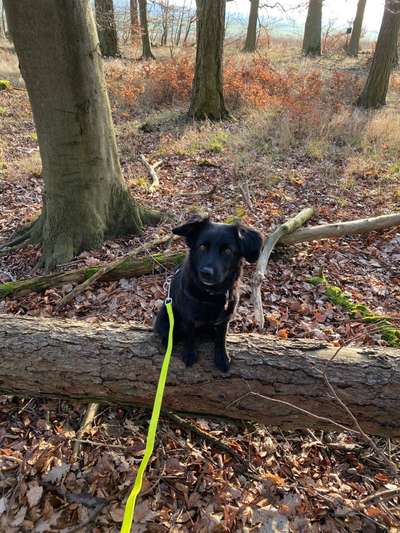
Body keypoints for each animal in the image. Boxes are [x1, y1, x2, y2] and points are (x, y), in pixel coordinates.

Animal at [154, 214, 262, 372]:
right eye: (202, 247)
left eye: (227, 251)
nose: (206, 272)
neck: (212, 294)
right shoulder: (189, 318)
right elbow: (190, 336)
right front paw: (190, 353)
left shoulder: (225, 319)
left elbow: (221, 338)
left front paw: (222, 357)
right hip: (165, 316)